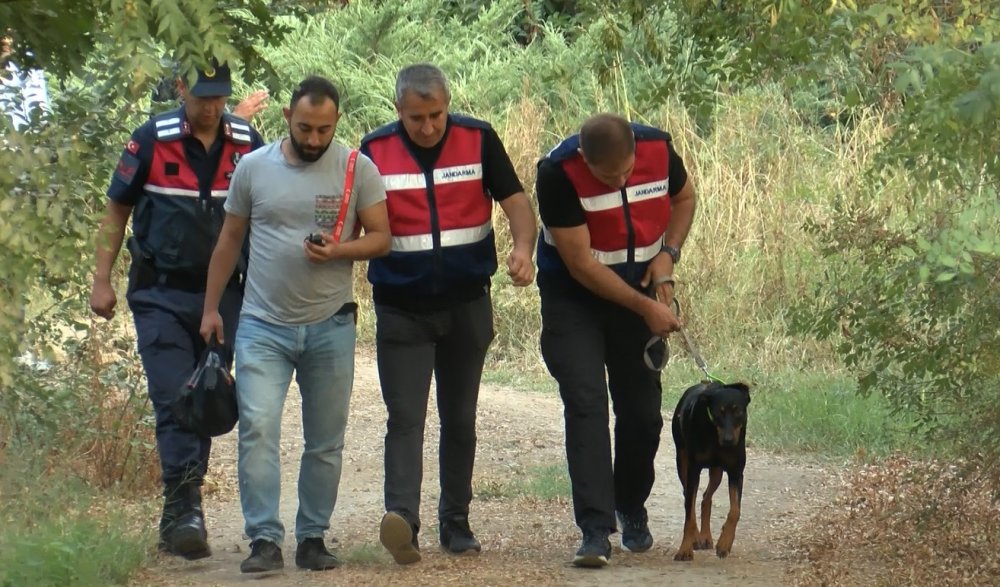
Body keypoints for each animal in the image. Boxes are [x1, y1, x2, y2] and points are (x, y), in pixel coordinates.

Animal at [672, 378, 752, 564]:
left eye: (738, 411)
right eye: (718, 413)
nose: (728, 440)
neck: (715, 435)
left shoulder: (736, 472)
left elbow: (735, 511)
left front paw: (725, 543)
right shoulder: (693, 470)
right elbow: (688, 515)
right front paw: (685, 549)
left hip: (717, 471)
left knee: (705, 498)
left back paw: (706, 537)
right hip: (682, 461)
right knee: (689, 499)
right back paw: (696, 538)